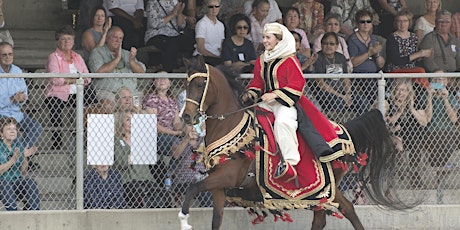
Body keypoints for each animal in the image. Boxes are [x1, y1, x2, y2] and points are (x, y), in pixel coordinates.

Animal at [179, 56, 414, 230]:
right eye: (186, 84)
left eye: (200, 84)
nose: (187, 116)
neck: (228, 124)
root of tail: (343, 131)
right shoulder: (219, 185)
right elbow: (215, 219)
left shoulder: (228, 176)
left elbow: (192, 187)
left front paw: (184, 220)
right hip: (325, 192)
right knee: (330, 215)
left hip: (326, 188)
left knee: (341, 211)